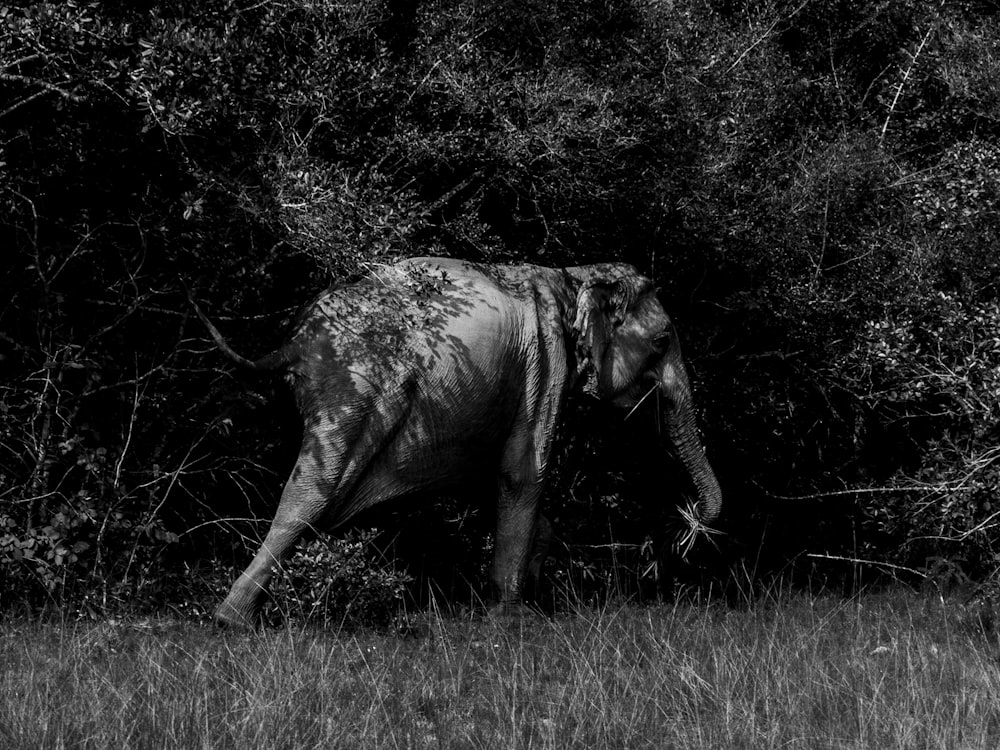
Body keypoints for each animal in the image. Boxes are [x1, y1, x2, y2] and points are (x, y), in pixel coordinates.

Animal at [193, 258, 720, 628]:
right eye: (662, 341)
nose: (685, 526)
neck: (576, 277)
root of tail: (296, 342)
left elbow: (492, 482)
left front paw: (529, 596)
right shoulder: (546, 366)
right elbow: (523, 473)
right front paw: (513, 620)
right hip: (355, 383)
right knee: (313, 493)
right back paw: (232, 623)